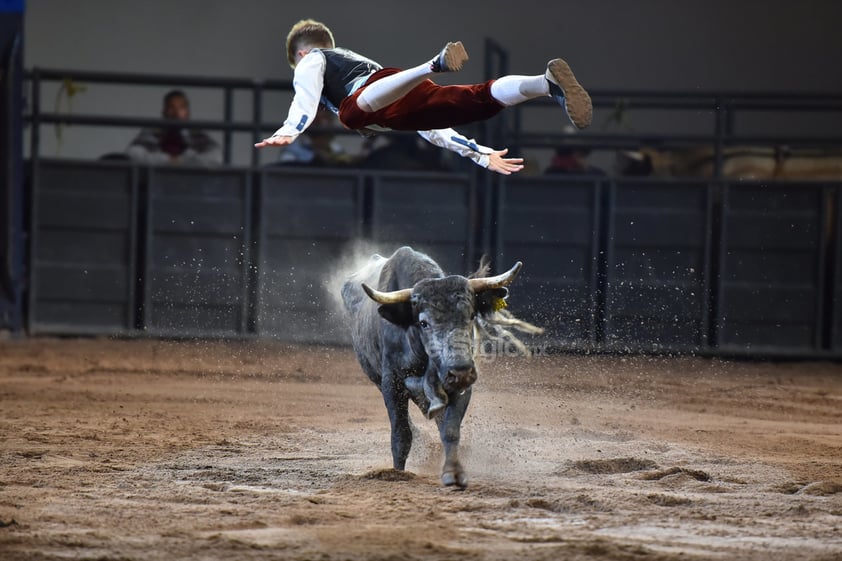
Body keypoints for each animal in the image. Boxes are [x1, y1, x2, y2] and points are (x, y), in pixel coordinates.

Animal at [340, 245, 532, 486]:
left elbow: (450, 430)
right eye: (423, 322)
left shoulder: (460, 387)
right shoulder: (391, 383)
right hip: (374, 376)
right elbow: (401, 434)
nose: (461, 372)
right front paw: (397, 474)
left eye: (471, 315)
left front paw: (453, 472)